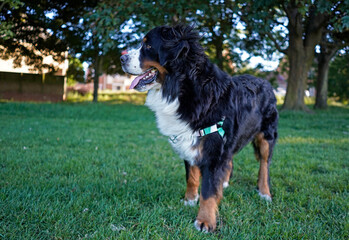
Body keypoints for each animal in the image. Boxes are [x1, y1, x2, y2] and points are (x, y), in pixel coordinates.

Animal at [119, 24, 278, 232]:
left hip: (266, 136)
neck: (182, 88)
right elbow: (192, 177)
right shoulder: (189, 138)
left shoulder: (213, 149)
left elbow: (208, 191)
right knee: (230, 161)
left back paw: (264, 192)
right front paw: (189, 200)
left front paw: (205, 221)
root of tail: (265, 81)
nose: (121, 58)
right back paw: (224, 182)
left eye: (148, 46)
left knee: (264, 165)